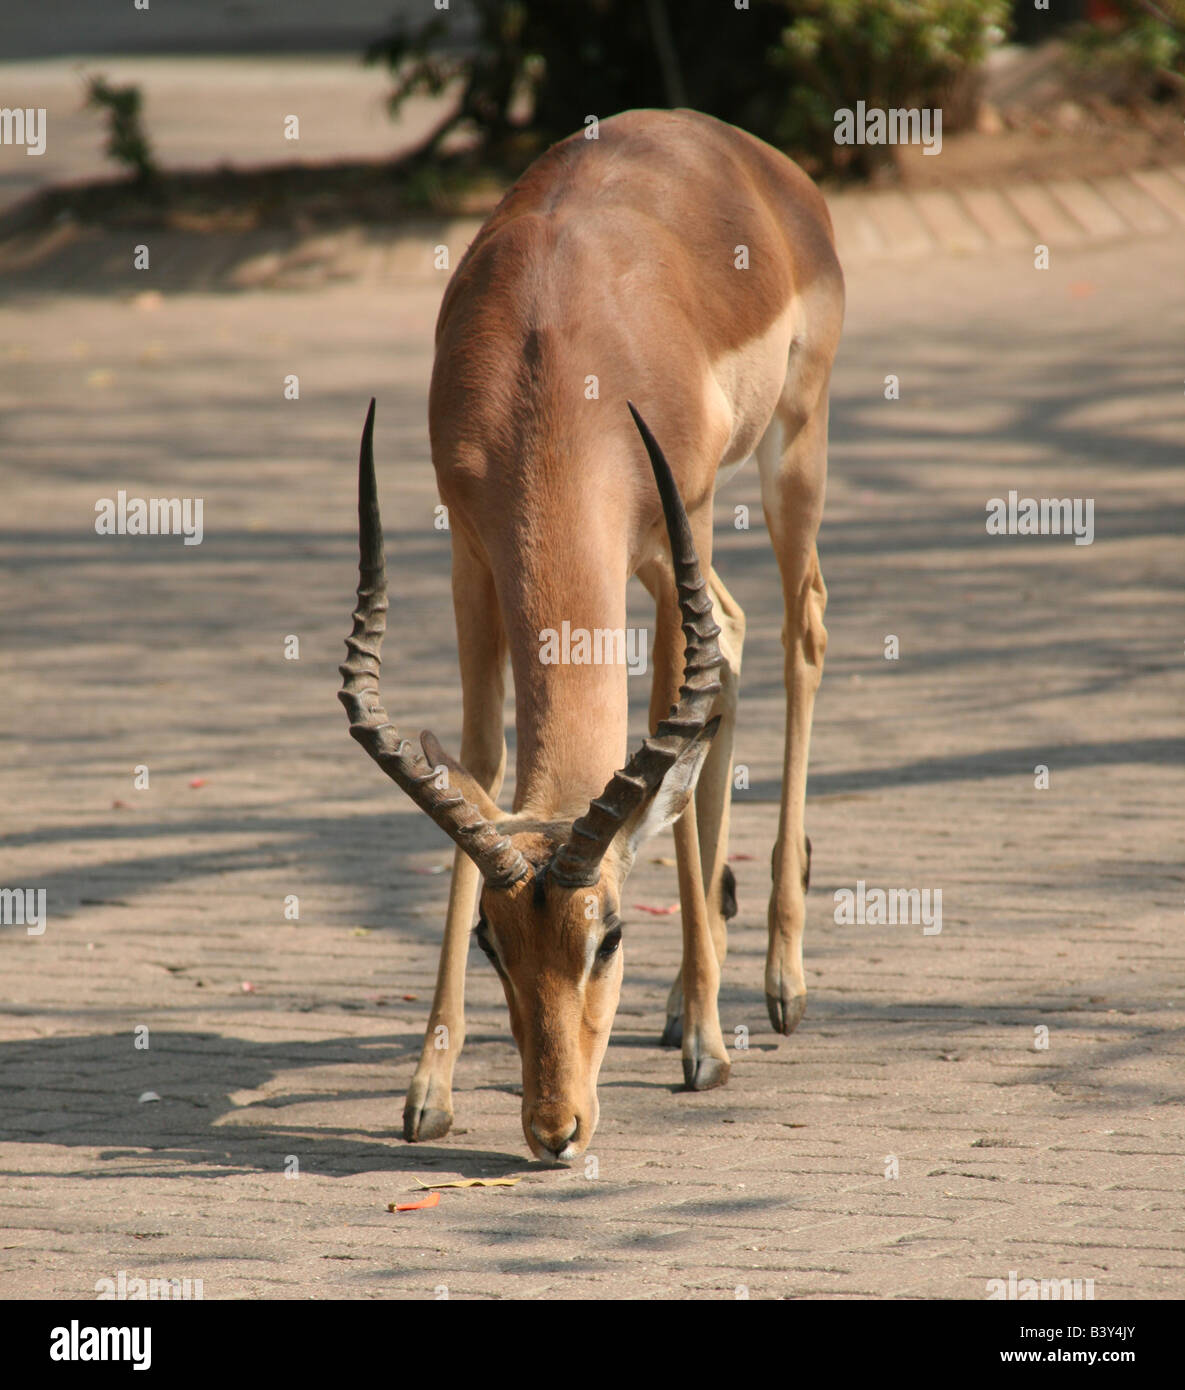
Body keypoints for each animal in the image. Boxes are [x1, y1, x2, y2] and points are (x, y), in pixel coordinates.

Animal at [340, 109, 843, 1161]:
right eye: (493, 941)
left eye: (607, 933)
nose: (555, 1128)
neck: (558, 363)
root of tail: (741, 150)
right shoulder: (473, 555)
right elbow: (481, 764)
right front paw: (427, 1089)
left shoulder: (678, 523)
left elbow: (670, 730)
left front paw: (707, 1046)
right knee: (737, 637)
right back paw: (692, 990)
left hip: (791, 449)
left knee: (797, 630)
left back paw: (774, 985)